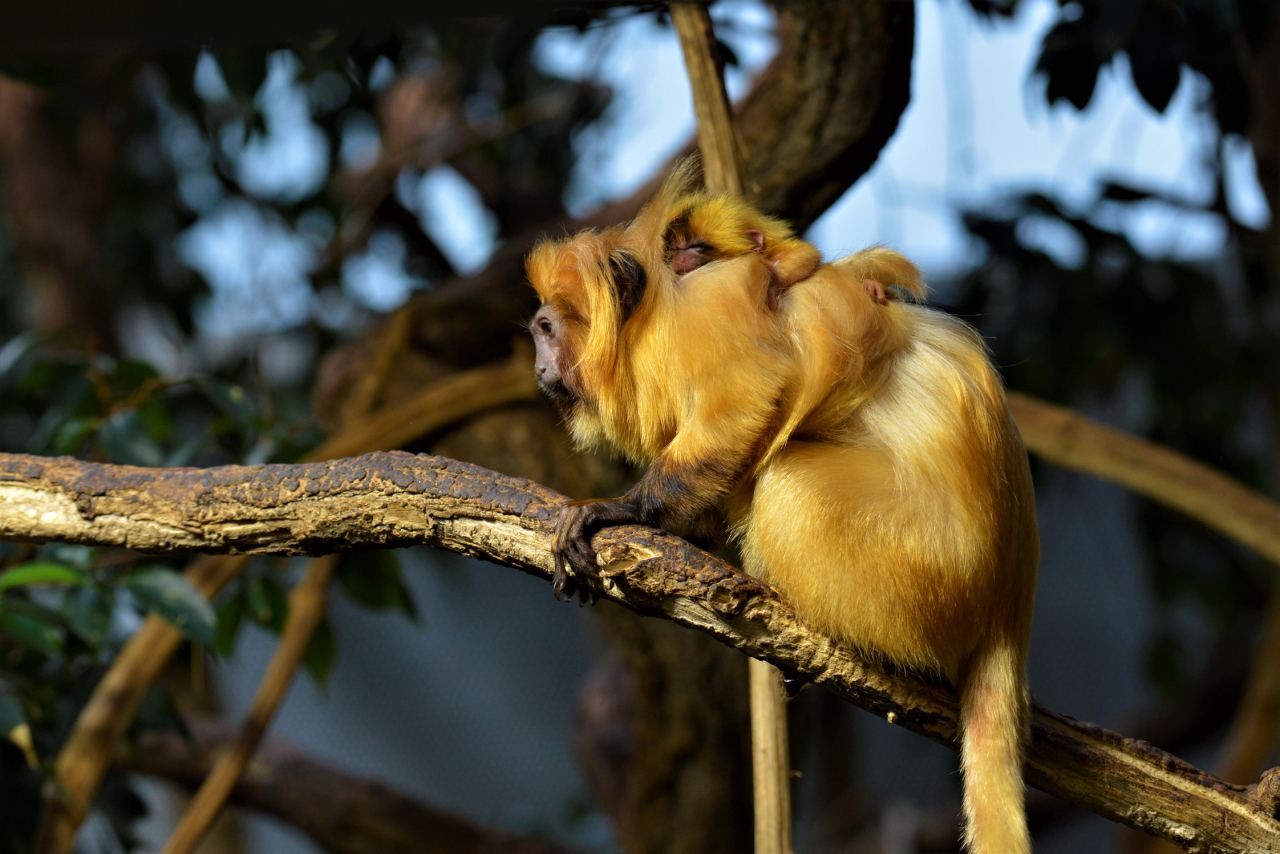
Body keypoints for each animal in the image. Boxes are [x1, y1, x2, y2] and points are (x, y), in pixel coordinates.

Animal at [526, 168, 1038, 854]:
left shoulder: (710, 312)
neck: (654, 316)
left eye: (546, 331)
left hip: (931, 573)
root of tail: (1009, 601)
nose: (538, 368)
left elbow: (745, 400)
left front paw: (616, 512)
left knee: (786, 478)